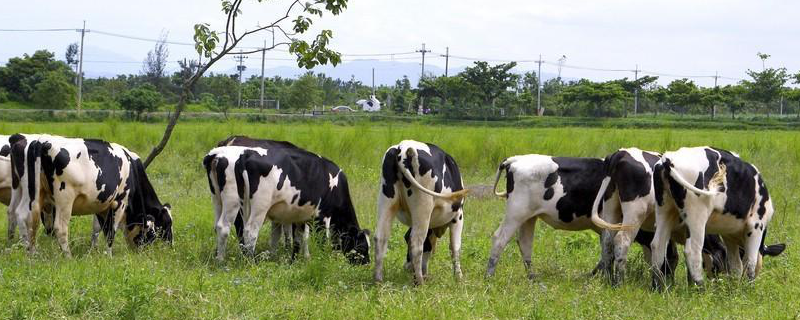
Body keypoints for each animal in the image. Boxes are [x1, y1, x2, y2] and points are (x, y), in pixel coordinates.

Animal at [376, 140, 468, 284]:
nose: (406, 267)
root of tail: (403, 147)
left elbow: (428, 246)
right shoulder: (458, 216)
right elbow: (455, 247)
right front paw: (458, 277)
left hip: (386, 202)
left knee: (380, 237)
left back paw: (378, 280)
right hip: (423, 206)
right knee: (416, 242)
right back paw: (419, 281)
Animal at [648, 146, 780, 286]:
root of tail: (668, 158)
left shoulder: (729, 235)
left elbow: (736, 265)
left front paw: (735, 286)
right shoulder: (756, 226)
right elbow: (750, 262)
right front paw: (748, 286)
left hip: (664, 210)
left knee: (657, 246)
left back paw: (657, 285)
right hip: (697, 217)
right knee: (692, 251)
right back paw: (700, 286)